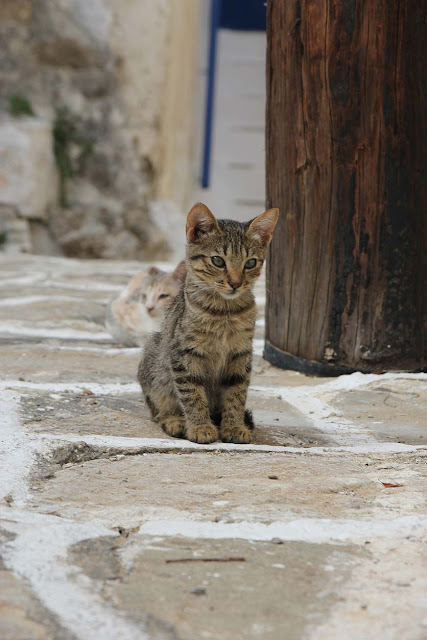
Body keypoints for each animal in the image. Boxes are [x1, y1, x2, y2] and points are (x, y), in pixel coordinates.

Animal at [139, 202, 280, 442]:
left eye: (250, 263)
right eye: (218, 260)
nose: (235, 283)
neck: (224, 312)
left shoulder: (241, 354)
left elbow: (236, 395)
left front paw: (233, 426)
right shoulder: (185, 354)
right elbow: (192, 394)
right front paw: (200, 426)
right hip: (154, 357)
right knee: (157, 409)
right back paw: (175, 421)